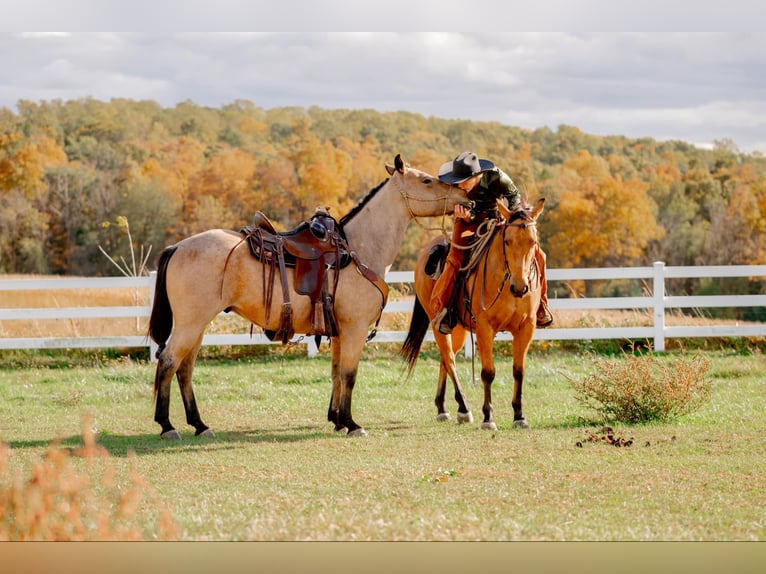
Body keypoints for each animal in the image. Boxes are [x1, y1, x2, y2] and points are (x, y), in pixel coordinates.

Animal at [144, 155, 468, 438]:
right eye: (426, 180)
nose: (464, 197)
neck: (358, 249)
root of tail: (178, 247)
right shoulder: (354, 330)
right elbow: (349, 374)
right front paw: (351, 423)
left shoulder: (339, 332)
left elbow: (336, 373)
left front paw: (337, 419)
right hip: (190, 325)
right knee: (169, 362)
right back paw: (167, 425)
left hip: (197, 327)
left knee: (185, 369)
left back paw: (199, 425)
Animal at [402, 200, 544, 430]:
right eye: (507, 241)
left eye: (533, 242)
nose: (520, 287)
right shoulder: (485, 328)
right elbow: (488, 372)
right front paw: (488, 418)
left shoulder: (526, 327)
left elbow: (518, 371)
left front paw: (519, 415)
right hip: (437, 323)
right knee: (450, 359)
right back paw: (463, 408)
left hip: (458, 328)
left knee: (445, 359)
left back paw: (442, 407)